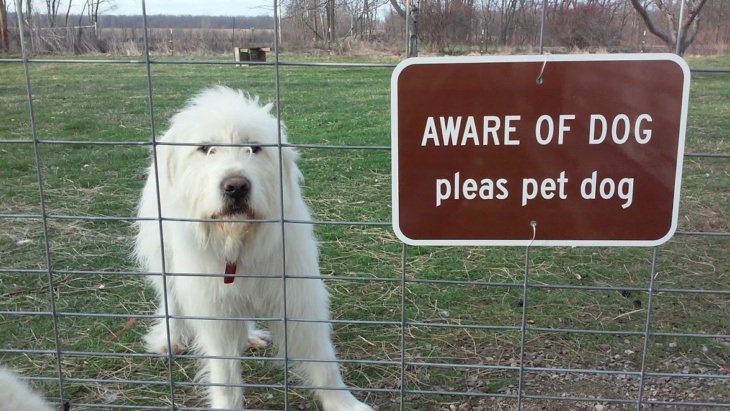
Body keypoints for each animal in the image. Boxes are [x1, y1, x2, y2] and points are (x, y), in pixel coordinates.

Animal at [134, 87, 372, 411]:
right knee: (171, 300)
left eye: (254, 148)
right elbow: (225, 374)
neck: (238, 241)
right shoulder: (215, 311)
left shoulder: (297, 299)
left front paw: (343, 403)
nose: (236, 186)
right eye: (205, 148)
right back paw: (172, 338)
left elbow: (323, 361)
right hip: (164, 259)